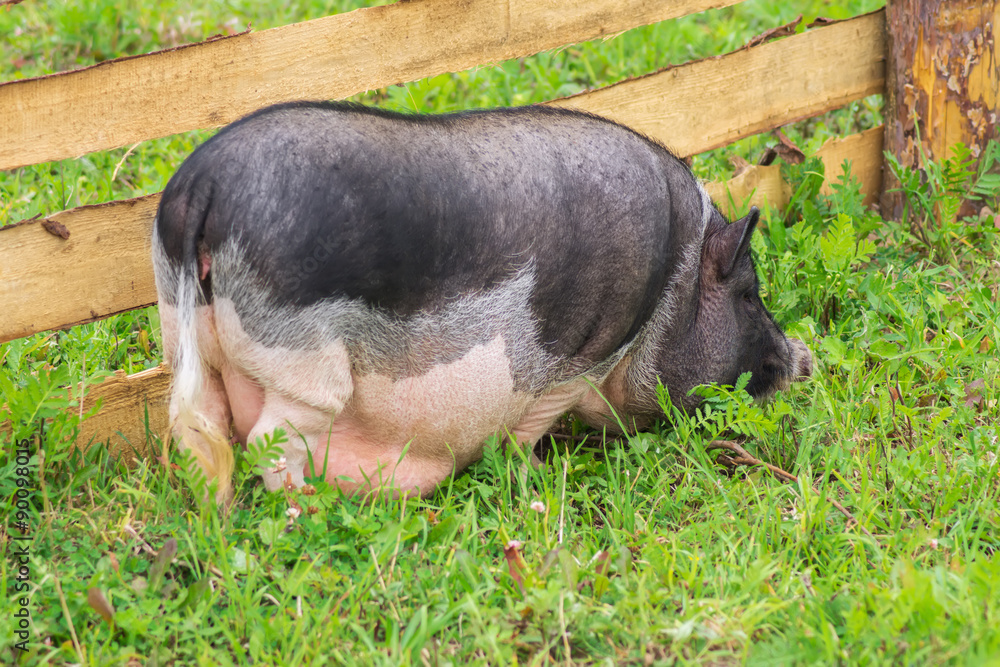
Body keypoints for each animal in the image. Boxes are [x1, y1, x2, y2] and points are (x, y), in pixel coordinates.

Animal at [152, 101, 811, 502]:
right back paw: (314, 509)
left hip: (184, 335)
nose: (803, 359)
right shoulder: (582, 356)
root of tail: (202, 187)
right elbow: (529, 426)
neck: (674, 284)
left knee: (203, 428)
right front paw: (540, 475)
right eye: (749, 296)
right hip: (300, 360)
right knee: (273, 440)